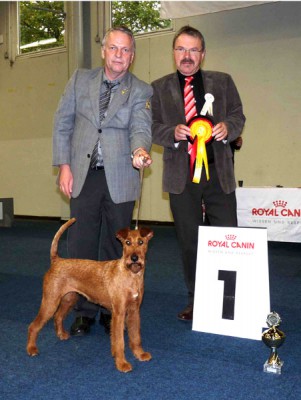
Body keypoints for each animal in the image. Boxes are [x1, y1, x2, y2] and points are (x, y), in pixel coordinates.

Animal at [26, 219, 154, 372]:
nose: (134, 258)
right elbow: (119, 341)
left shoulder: (134, 311)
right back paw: (31, 349)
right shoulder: (119, 312)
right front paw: (122, 363)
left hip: (69, 298)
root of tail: (57, 260)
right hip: (50, 301)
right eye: (127, 242)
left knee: (58, 316)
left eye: (141, 242)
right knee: (34, 325)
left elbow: (135, 336)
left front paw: (140, 354)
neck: (131, 275)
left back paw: (61, 334)